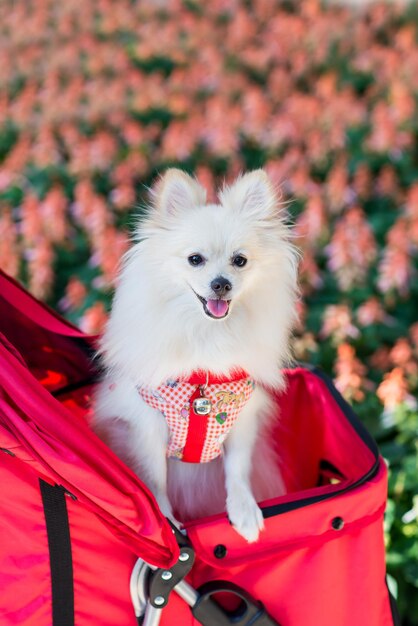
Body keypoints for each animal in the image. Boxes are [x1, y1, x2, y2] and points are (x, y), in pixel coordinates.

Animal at [94, 168, 298, 540]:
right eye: (195, 260)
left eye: (240, 261)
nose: (221, 283)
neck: (207, 335)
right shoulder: (147, 426)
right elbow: (154, 480)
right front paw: (165, 522)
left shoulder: (241, 419)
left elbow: (237, 468)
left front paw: (244, 510)